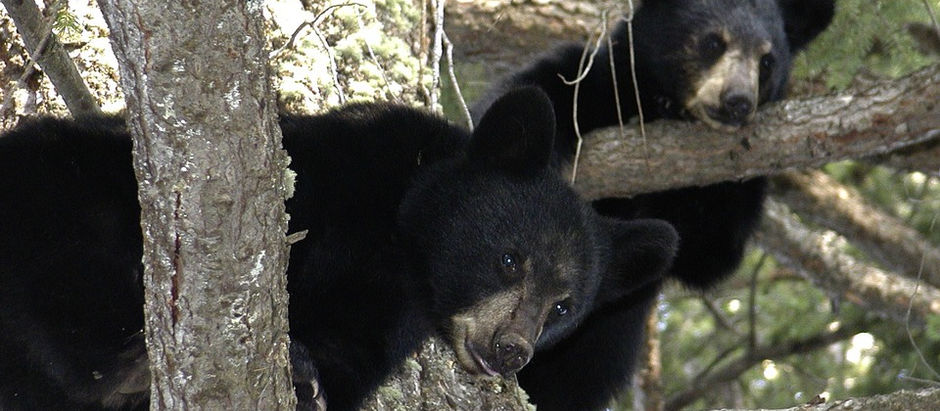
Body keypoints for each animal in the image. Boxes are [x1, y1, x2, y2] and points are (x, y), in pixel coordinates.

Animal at [0, 87, 679, 410]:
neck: (402, 239)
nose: (512, 350)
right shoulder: (336, 167)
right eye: (510, 259)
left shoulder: (387, 315)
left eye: (564, 307)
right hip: (61, 183)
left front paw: (310, 383)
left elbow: (346, 360)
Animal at [471, 1, 835, 409]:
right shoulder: (592, 78)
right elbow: (520, 103)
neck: (661, 108)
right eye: (713, 42)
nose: (738, 102)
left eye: (767, 61)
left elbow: (711, 253)